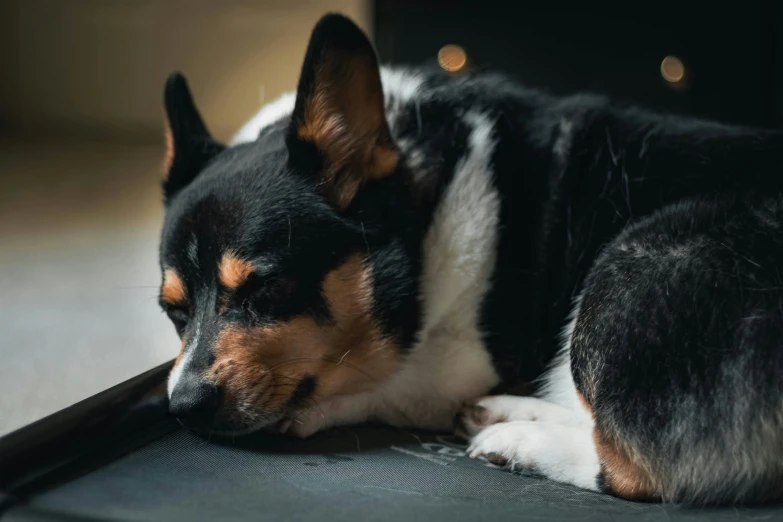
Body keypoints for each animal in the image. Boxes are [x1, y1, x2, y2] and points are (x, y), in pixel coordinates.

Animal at [156, 13, 783, 504]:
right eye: (173, 312)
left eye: (266, 289)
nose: (183, 407)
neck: (423, 202)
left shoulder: (458, 360)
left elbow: (385, 382)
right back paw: (510, 413)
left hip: (625, 271)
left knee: (636, 468)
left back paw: (522, 442)